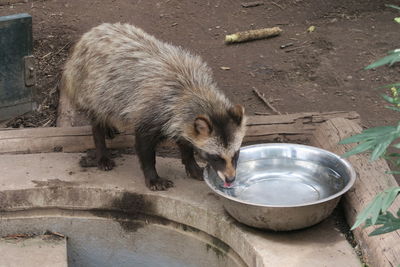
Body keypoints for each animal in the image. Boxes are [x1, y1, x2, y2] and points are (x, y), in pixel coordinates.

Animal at [62, 22, 247, 191]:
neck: (192, 90)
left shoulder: (179, 117)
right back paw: (101, 148)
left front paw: (190, 162)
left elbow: (185, 140)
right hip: (91, 85)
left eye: (236, 154)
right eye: (216, 157)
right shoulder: (150, 111)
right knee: (97, 117)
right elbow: (144, 147)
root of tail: (92, 33)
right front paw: (152, 176)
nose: (231, 179)